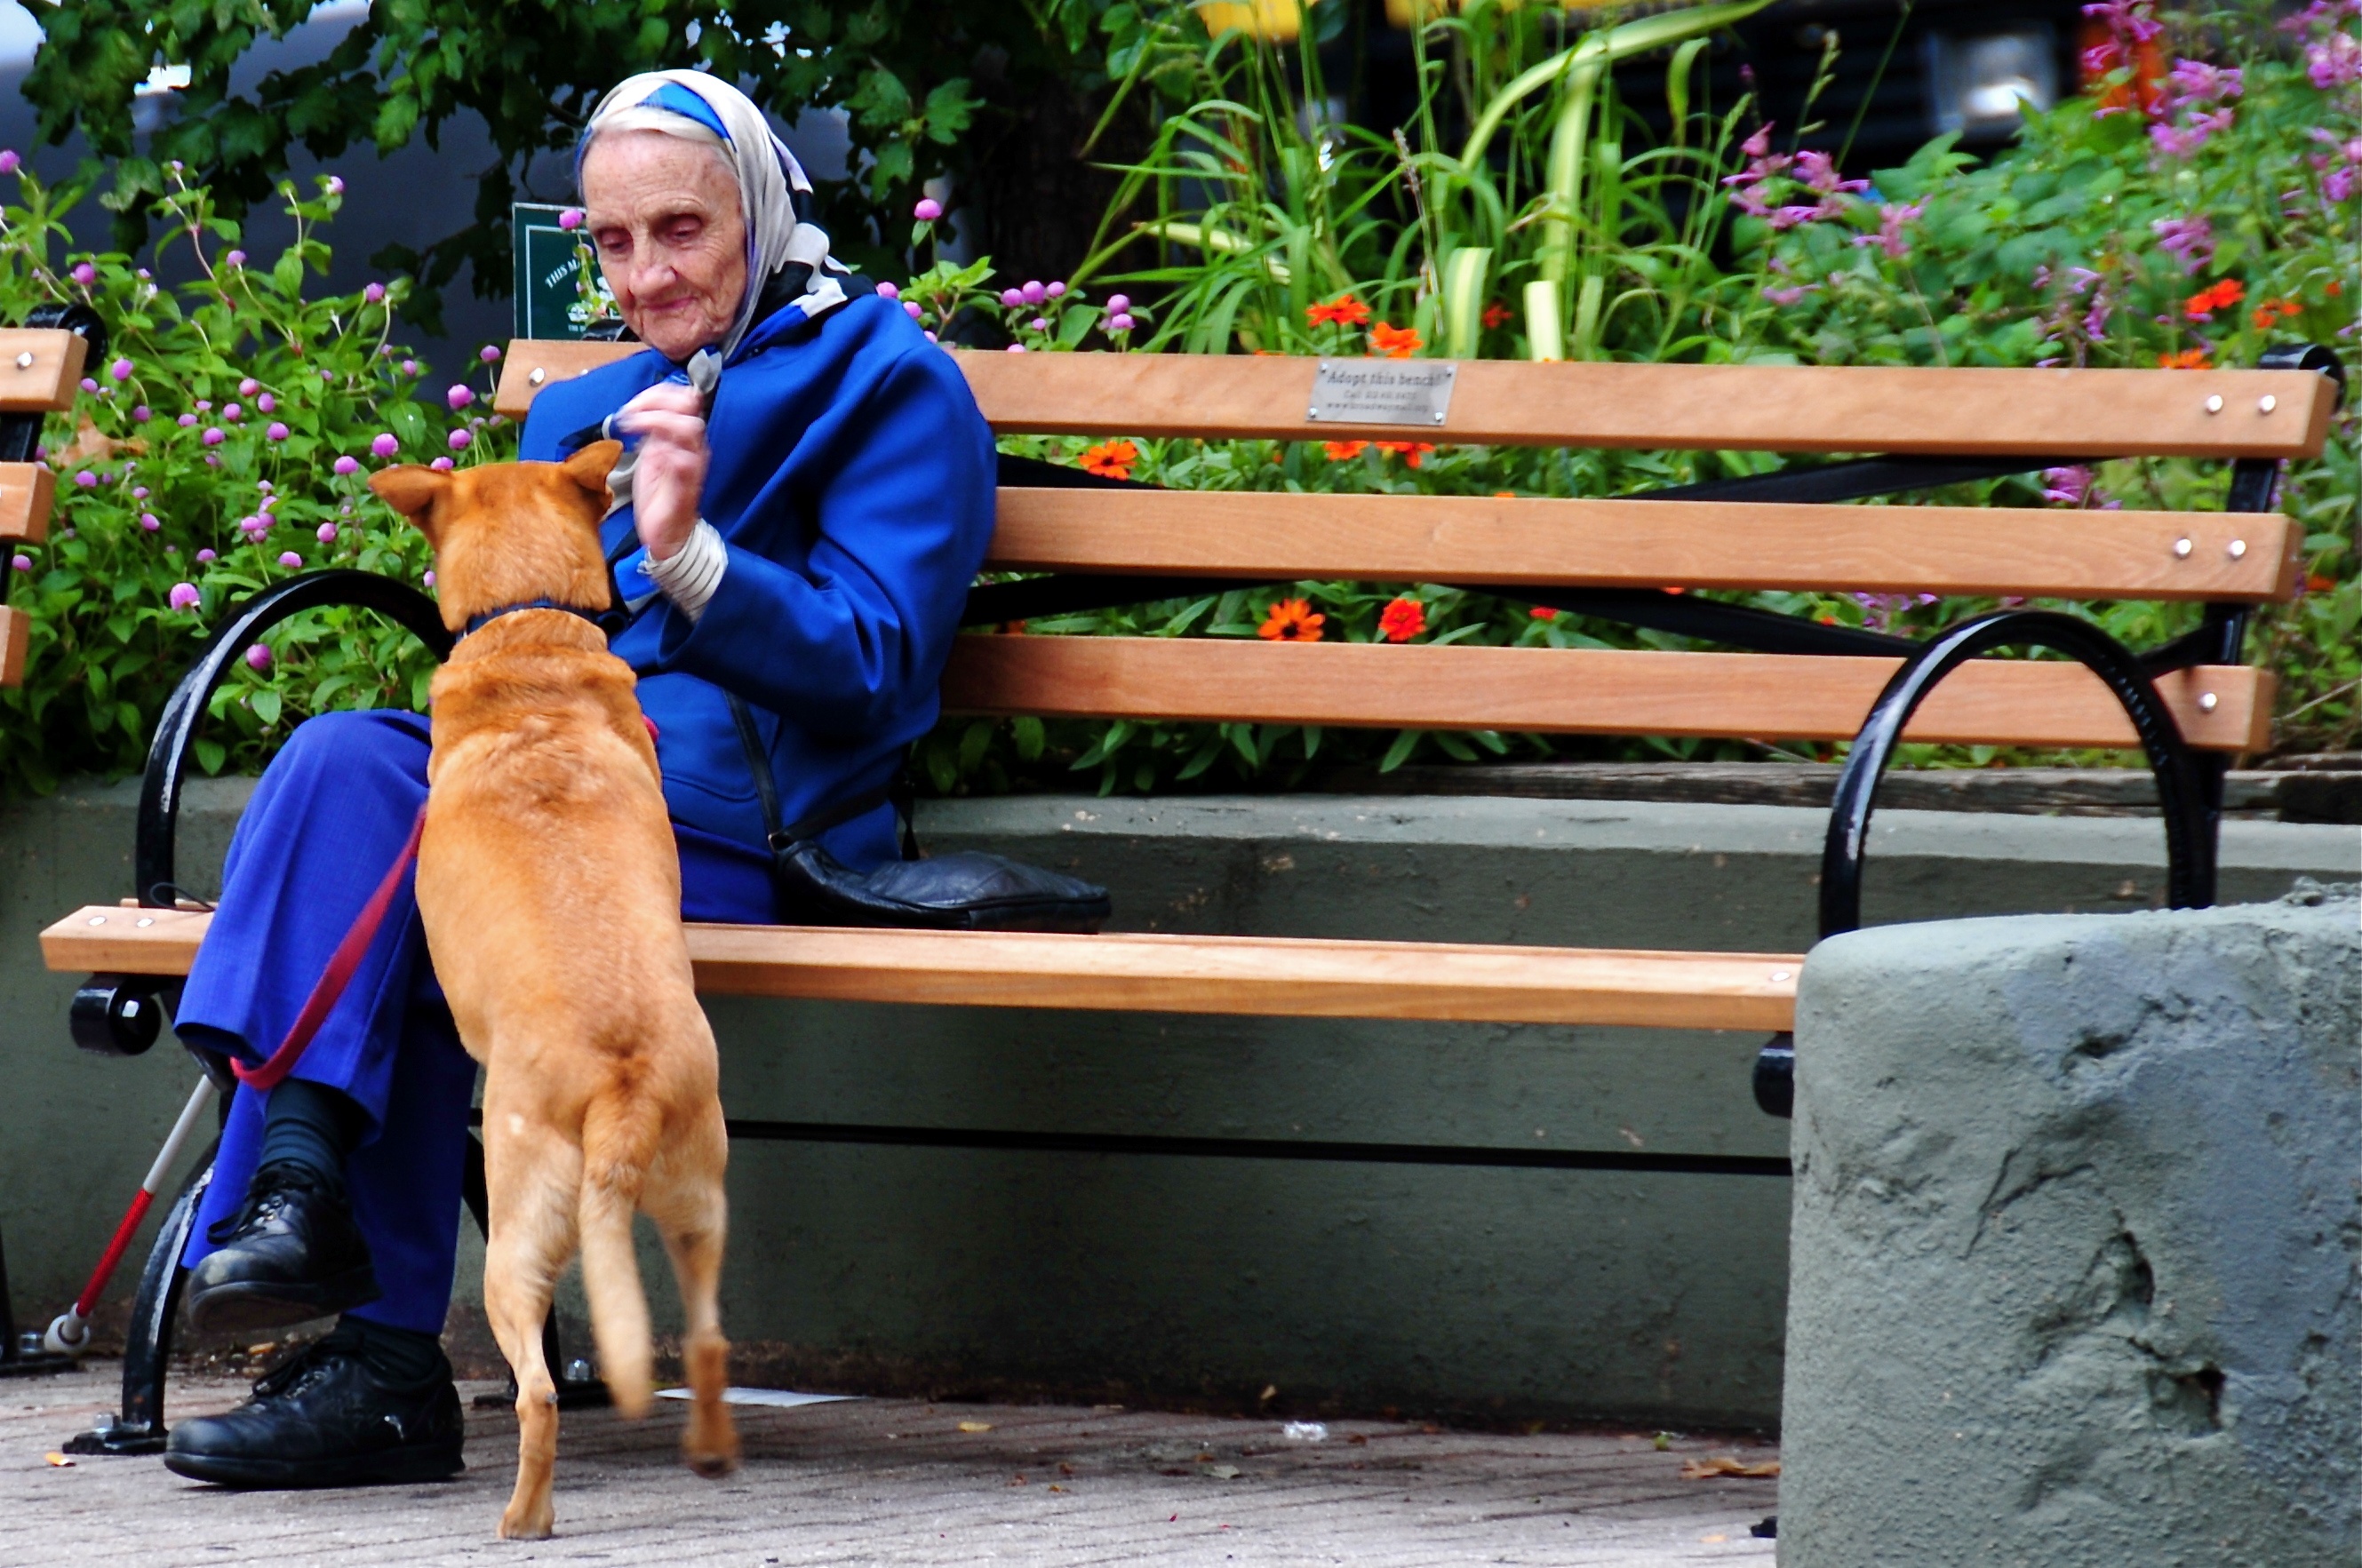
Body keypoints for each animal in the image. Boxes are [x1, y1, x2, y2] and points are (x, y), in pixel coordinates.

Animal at [368, 443, 731, 1540]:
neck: (528, 636)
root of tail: (620, 1087)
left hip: (512, 1238)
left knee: (535, 1391)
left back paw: (523, 1518)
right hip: (699, 1198)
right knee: (706, 1338)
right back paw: (710, 1452)